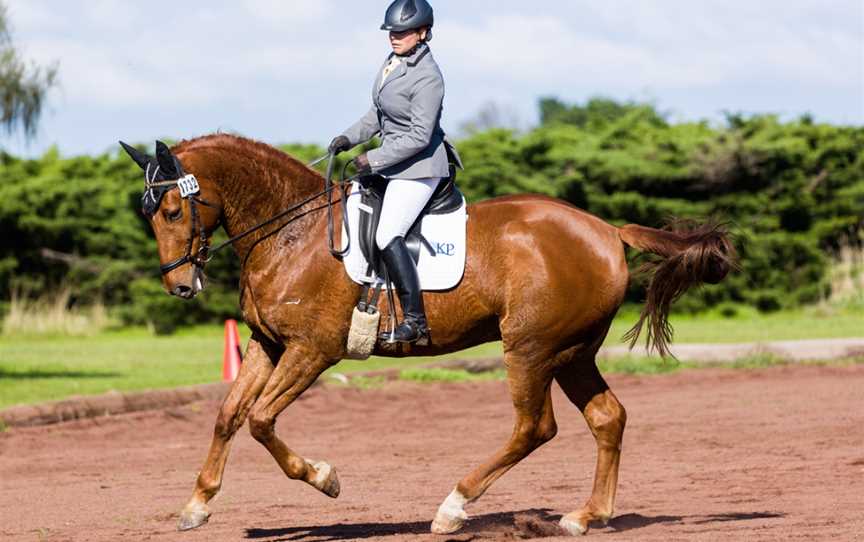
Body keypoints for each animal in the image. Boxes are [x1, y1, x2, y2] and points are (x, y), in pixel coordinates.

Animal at [120, 134, 736, 536]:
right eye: (149, 213)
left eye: (172, 210)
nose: (180, 286)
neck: (291, 231)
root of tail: (607, 229)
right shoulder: (267, 344)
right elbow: (229, 415)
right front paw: (197, 505)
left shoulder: (313, 350)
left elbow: (262, 420)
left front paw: (324, 478)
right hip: (572, 352)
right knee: (606, 418)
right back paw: (587, 516)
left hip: (531, 348)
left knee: (535, 427)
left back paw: (454, 507)